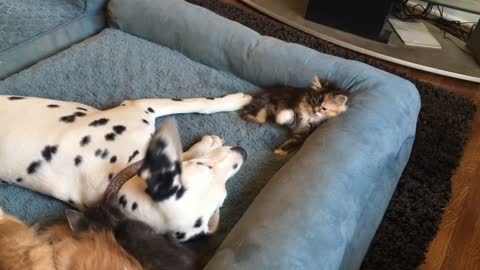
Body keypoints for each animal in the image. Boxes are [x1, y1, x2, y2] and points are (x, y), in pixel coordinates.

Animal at [0, 93, 249, 240]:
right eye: (204, 166)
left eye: (223, 198)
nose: (243, 152)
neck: (115, 173)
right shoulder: (141, 105)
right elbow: (200, 103)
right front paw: (236, 101)